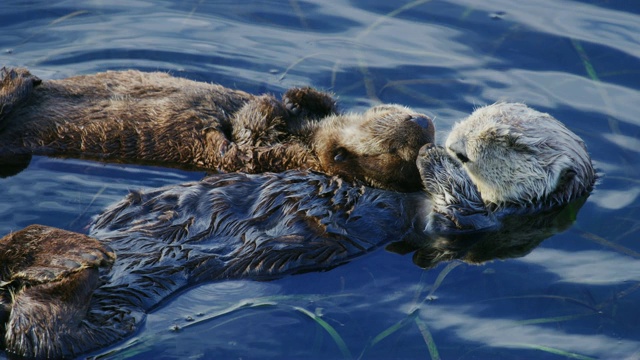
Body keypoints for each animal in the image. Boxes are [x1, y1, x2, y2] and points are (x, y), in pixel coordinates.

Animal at [0, 67, 436, 191]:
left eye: (396, 151)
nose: (422, 121)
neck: (302, 136)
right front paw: (300, 95)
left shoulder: (251, 157)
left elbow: (244, 137)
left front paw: (270, 105)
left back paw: (18, 78)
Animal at [0, 102, 596, 358]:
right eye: (474, 118)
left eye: (514, 145)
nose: (459, 145)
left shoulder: (472, 226)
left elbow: (455, 212)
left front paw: (433, 156)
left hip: (112, 314)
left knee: (44, 330)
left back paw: (62, 259)